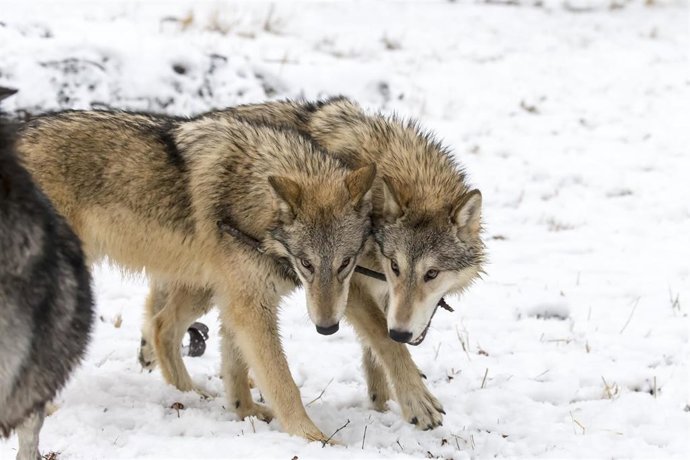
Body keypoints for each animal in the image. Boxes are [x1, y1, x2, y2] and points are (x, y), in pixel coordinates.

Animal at [15, 109, 376, 442]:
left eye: (345, 263)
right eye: (307, 264)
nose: (327, 328)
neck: (251, 196)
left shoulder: (239, 300)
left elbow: (235, 367)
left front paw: (245, 412)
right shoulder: (250, 305)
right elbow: (283, 383)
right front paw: (314, 437)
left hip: (200, 288)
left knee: (161, 326)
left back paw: (189, 395)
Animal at [143, 97, 485, 431]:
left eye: (432, 273)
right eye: (396, 266)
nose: (402, 332)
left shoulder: (378, 291)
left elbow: (376, 350)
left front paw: (382, 404)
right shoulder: (353, 288)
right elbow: (385, 341)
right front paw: (416, 402)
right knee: (164, 322)